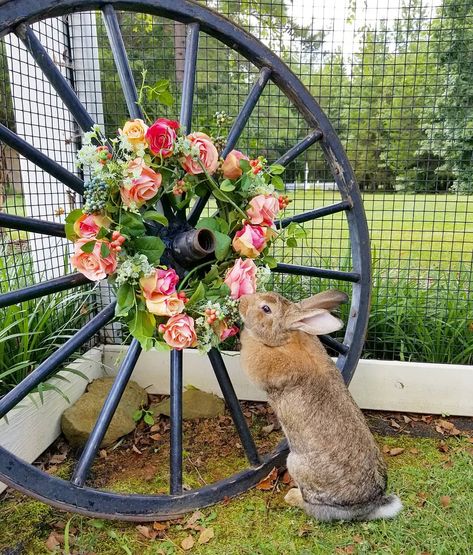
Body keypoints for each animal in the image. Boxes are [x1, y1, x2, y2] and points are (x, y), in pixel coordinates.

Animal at [238, 294, 400, 524]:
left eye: (266, 309)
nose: (241, 302)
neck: (286, 338)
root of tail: (369, 506)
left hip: (295, 464)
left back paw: (292, 496)